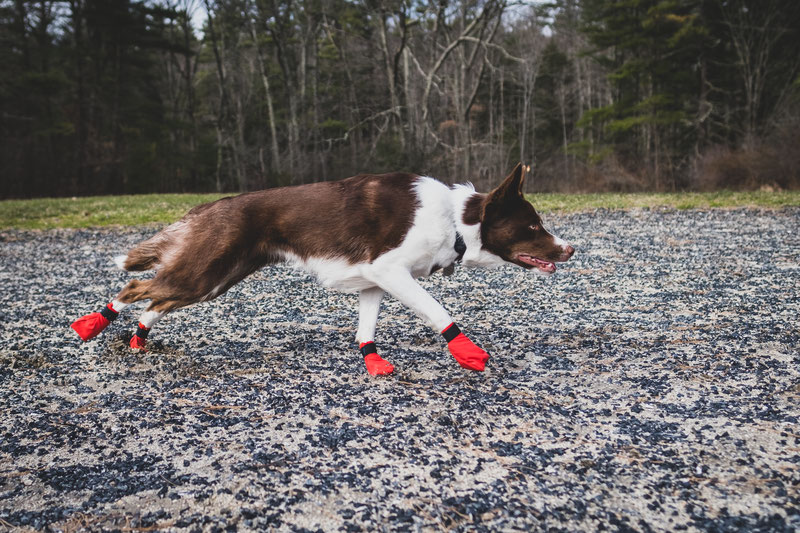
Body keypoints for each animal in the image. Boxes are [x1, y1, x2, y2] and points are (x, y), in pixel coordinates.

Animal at [72, 162, 576, 374]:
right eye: (533, 225)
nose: (570, 250)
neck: (455, 220)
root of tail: (208, 207)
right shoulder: (392, 271)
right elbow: (439, 313)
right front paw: (467, 352)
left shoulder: (375, 282)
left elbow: (366, 329)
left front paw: (372, 362)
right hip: (205, 272)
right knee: (136, 286)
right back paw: (94, 322)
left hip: (214, 279)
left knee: (156, 298)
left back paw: (138, 337)